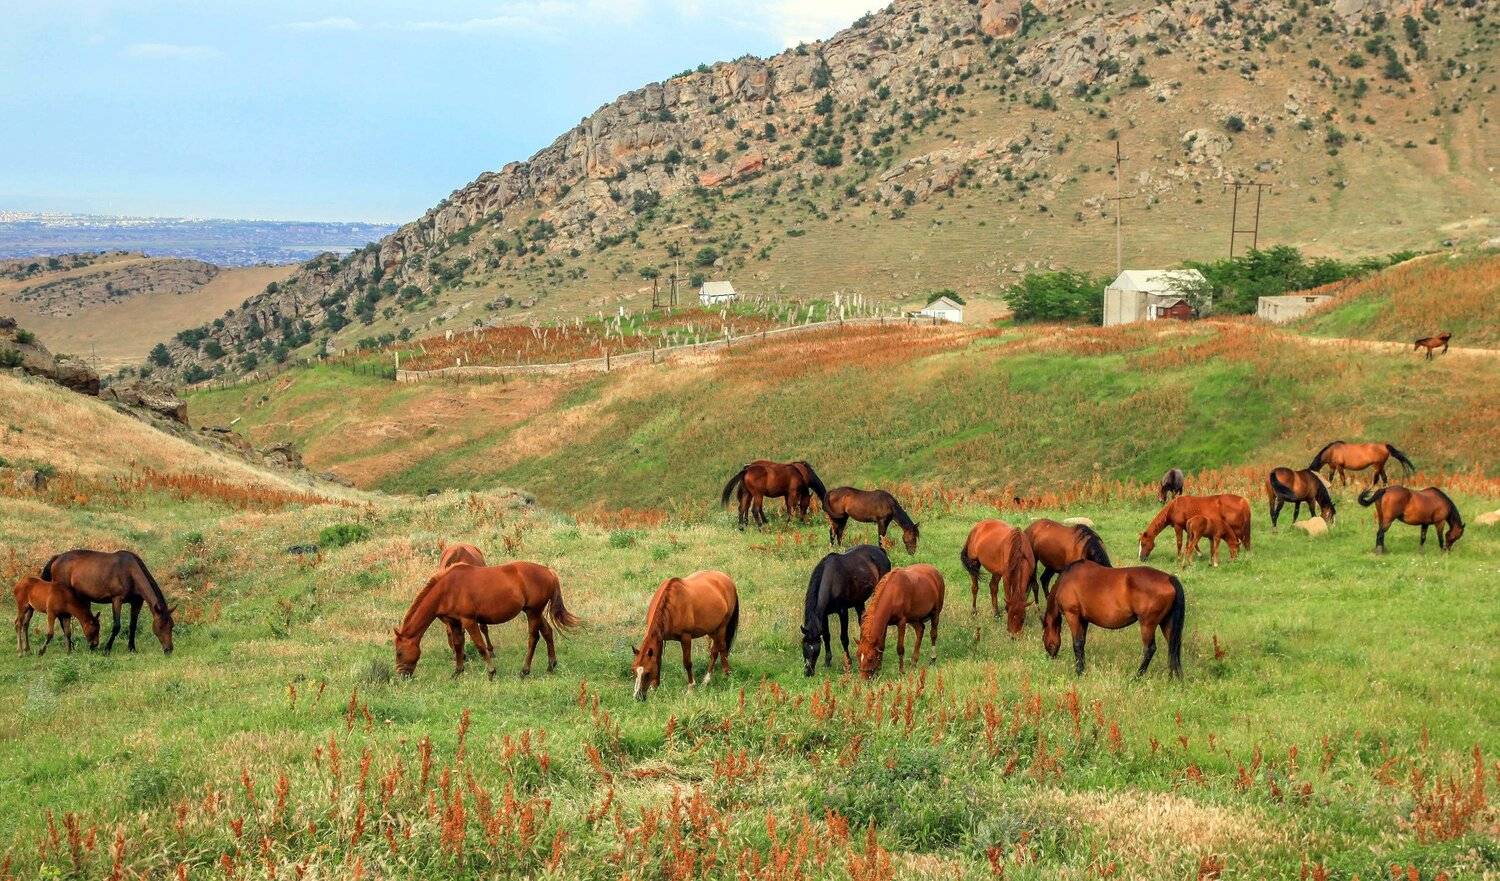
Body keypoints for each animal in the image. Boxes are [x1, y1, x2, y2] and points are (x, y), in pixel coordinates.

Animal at [41, 550, 174, 654]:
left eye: (172, 625)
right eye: (161, 626)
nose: (169, 650)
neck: (130, 571)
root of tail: (57, 558)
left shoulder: (137, 602)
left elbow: (133, 626)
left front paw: (132, 648)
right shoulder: (117, 600)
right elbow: (116, 626)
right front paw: (107, 649)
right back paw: (72, 647)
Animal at [394, 561, 578, 679]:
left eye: (399, 652)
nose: (401, 676)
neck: (447, 589)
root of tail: (548, 571)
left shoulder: (469, 621)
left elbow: (480, 646)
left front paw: (491, 672)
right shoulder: (454, 622)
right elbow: (458, 645)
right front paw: (457, 672)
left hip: (533, 612)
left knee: (533, 638)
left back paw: (524, 670)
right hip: (535, 613)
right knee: (547, 632)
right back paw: (551, 665)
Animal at [631, 571, 739, 701]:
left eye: (647, 673)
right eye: (634, 671)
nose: (638, 697)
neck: (671, 606)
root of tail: (726, 578)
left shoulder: (685, 637)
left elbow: (687, 663)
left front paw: (691, 688)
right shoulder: (660, 638)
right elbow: (658, 660)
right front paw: (655, 687)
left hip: (721, 627)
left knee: (720, 649)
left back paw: (721, 676)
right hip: (712, 630)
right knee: (715, 650)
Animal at [802, 545, 890, 676]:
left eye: (815, 649)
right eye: (804, 646)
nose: (808, 672)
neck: (831, 580)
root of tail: (880, 550)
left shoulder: (843, 612)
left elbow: (844, 638)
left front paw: (848, 663)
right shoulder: (824, 615)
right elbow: (826, 636)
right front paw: (827, 661)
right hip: (859, 602)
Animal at [1043, 561, 1184, 679]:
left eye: (1044, 638)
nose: (1050, 657)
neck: (1066, 580)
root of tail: (1169, 578)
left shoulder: (1073, 616)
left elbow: (1077, 644)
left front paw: (1079, 672)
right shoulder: (1084, 620)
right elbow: (1082, 643)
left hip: (1147, 624)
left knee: (1150, 649)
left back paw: (1137, 677)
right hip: (1166, 623)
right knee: (1174, 647)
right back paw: (1176, 677)